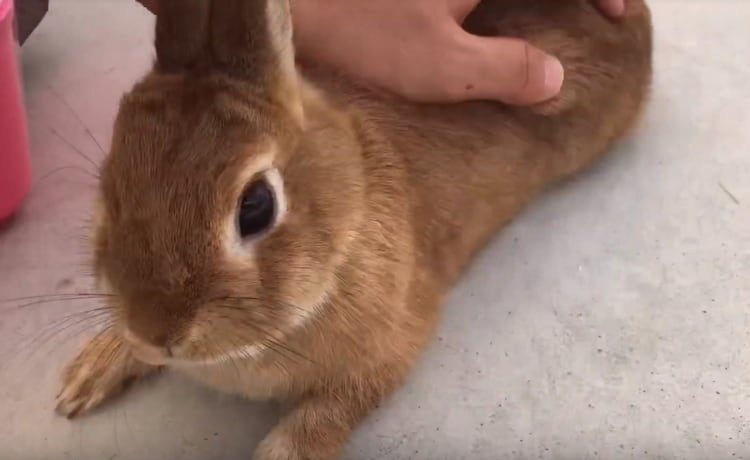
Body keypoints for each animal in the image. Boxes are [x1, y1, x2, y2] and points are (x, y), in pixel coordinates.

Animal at [55, 1, 652, 458]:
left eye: (256, 207)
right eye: (110, 184)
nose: (156, 332)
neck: (353, 195)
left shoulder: (383, 352)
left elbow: (311, 428)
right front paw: (87, 375)